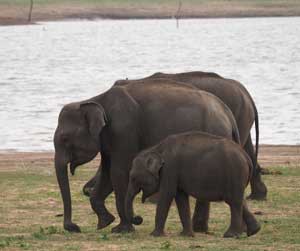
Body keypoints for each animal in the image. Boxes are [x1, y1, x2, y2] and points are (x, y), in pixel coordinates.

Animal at [54, 79, 241, 233]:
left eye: (65, 138)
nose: (74, 227)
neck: (95, 100)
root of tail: (229, 114)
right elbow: (107, 174)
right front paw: (105, 223)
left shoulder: (124, 130)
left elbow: (118, 172)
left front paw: (122, 229)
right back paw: (199, 229)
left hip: (213, 134)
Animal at [125, 131, 262, 237]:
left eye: (133, 178)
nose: (138, 218)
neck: (156, 149)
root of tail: (246, 157)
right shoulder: (175, 174)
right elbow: (180, 198)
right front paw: (186, 235)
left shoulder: (170, 169)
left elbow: (167, 195)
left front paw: (154, 235)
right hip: (236, 177)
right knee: (238, 200)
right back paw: (254, 231)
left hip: (235, 172)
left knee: (234, 202)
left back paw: (230, 235)